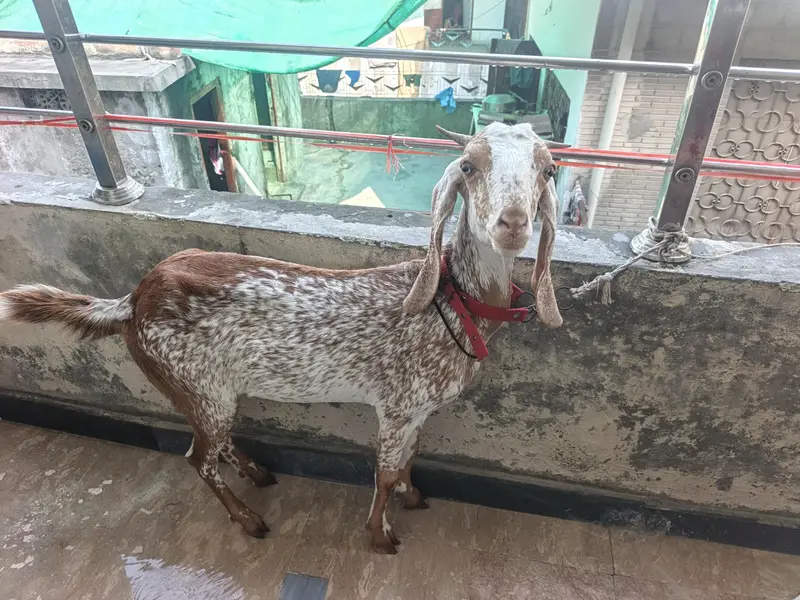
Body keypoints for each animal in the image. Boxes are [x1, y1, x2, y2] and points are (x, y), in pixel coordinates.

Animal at [0, 122, 564, 554]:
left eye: (547, 169)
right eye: (468, 166)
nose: (512, 224)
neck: (451, 300)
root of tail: (134, 300)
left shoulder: (419, 408)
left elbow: (409, 458)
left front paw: (414, 498)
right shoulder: (397, 404)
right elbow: (383, 471)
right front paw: (380, 536)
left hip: (205, 391)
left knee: (215, 442)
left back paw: (257, 472)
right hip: (197, 383)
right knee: (197, 458)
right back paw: (249, 519)